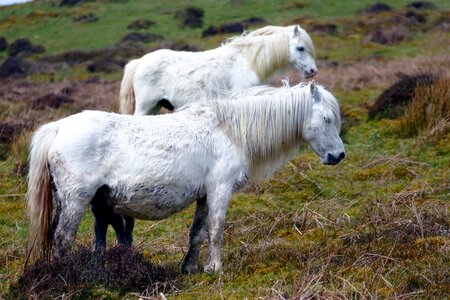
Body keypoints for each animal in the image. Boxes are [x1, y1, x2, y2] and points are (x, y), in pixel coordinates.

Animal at [27, 81, 344, 274]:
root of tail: (58, 127)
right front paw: (215, 268)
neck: (228, 130)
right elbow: (216, 228)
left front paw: (190, 268)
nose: (338, 156)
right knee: (62, 239)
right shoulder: (220, 190)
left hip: (91, 202)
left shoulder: (204, 195)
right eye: (327, 119)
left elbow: (198, 232)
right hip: (76, 201)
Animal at [119, 24, 316, 115]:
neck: (246, 60)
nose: (313, 71)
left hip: (155, 107)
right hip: (146, 107)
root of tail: (139, 62)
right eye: (300, 48)